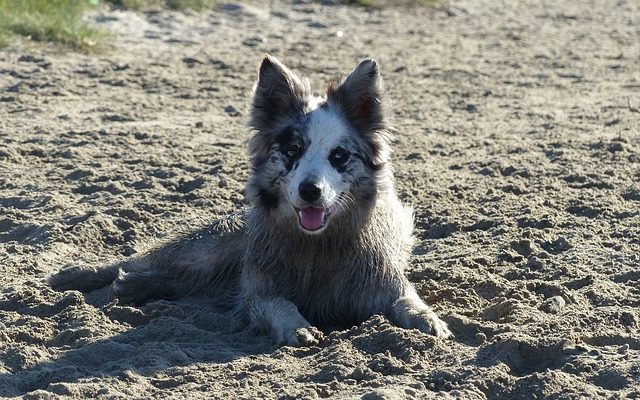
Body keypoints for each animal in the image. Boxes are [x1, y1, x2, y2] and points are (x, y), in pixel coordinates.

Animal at [48, 54, 450, 346]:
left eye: (338, 156)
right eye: (292, 151)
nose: (311, 191)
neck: (318, 247)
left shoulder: (385, 281)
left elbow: (409, 300)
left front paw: (429, 319)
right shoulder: (261, 289)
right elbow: (277, 303)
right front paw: (296, 325)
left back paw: (134, 285)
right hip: (210, 248)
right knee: (144, 259)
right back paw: (85, 275)